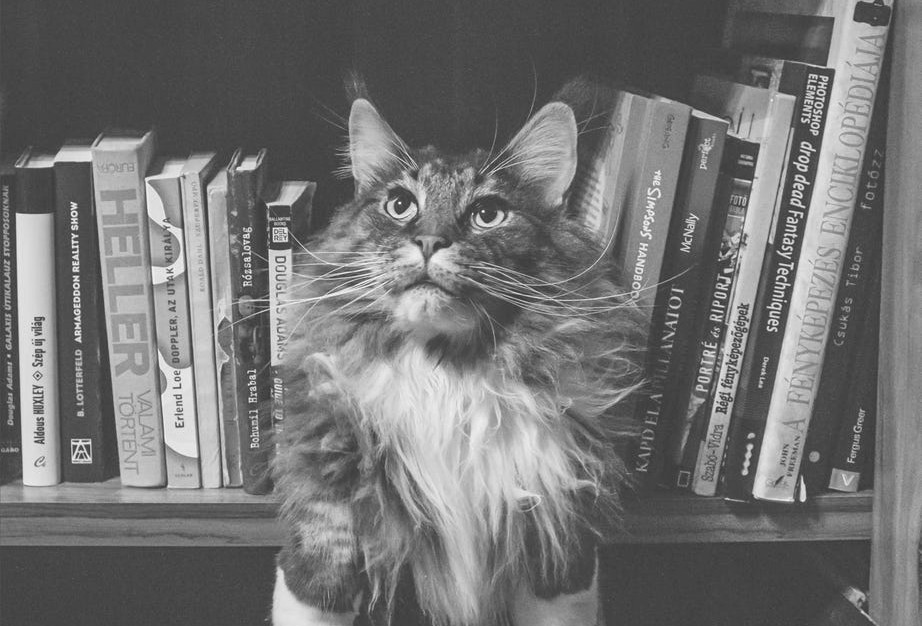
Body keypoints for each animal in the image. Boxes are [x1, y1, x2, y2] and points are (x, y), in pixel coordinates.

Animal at [270, 88, 644, 624]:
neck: (444, 374)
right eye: (400, 205)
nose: (429, 241)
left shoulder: (557, 544)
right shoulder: (326, 534)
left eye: (488, 214)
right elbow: (318, 580)